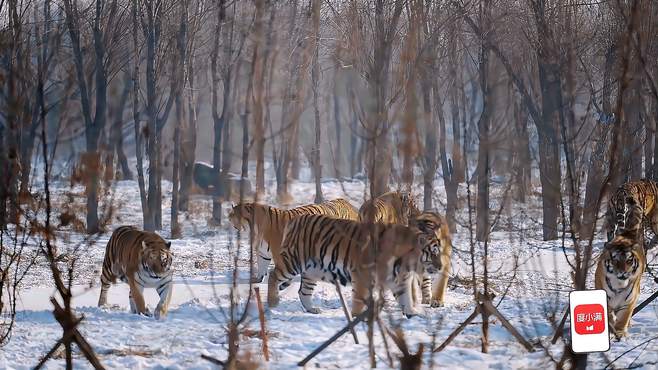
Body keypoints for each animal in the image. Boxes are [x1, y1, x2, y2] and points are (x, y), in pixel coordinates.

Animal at [226, 199, 358, 284]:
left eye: (233, 214)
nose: (228, 218)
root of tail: (349, 204)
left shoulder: (278, 253)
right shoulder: (263, 252)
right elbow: (262, 266)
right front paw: (258, 279)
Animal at [266, 212, 440, 316]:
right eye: (433, 253)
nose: (440, 267)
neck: (405, 264)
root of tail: (295, 219)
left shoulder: (400, 281)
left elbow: (406, 298)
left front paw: (412, 313)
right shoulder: (362, 274)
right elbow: (359, 298)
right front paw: (357, 316)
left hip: (312, 271)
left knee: (303, 292)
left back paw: (312, 309)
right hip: (293, 261)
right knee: (273, 275)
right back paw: (273, 302)